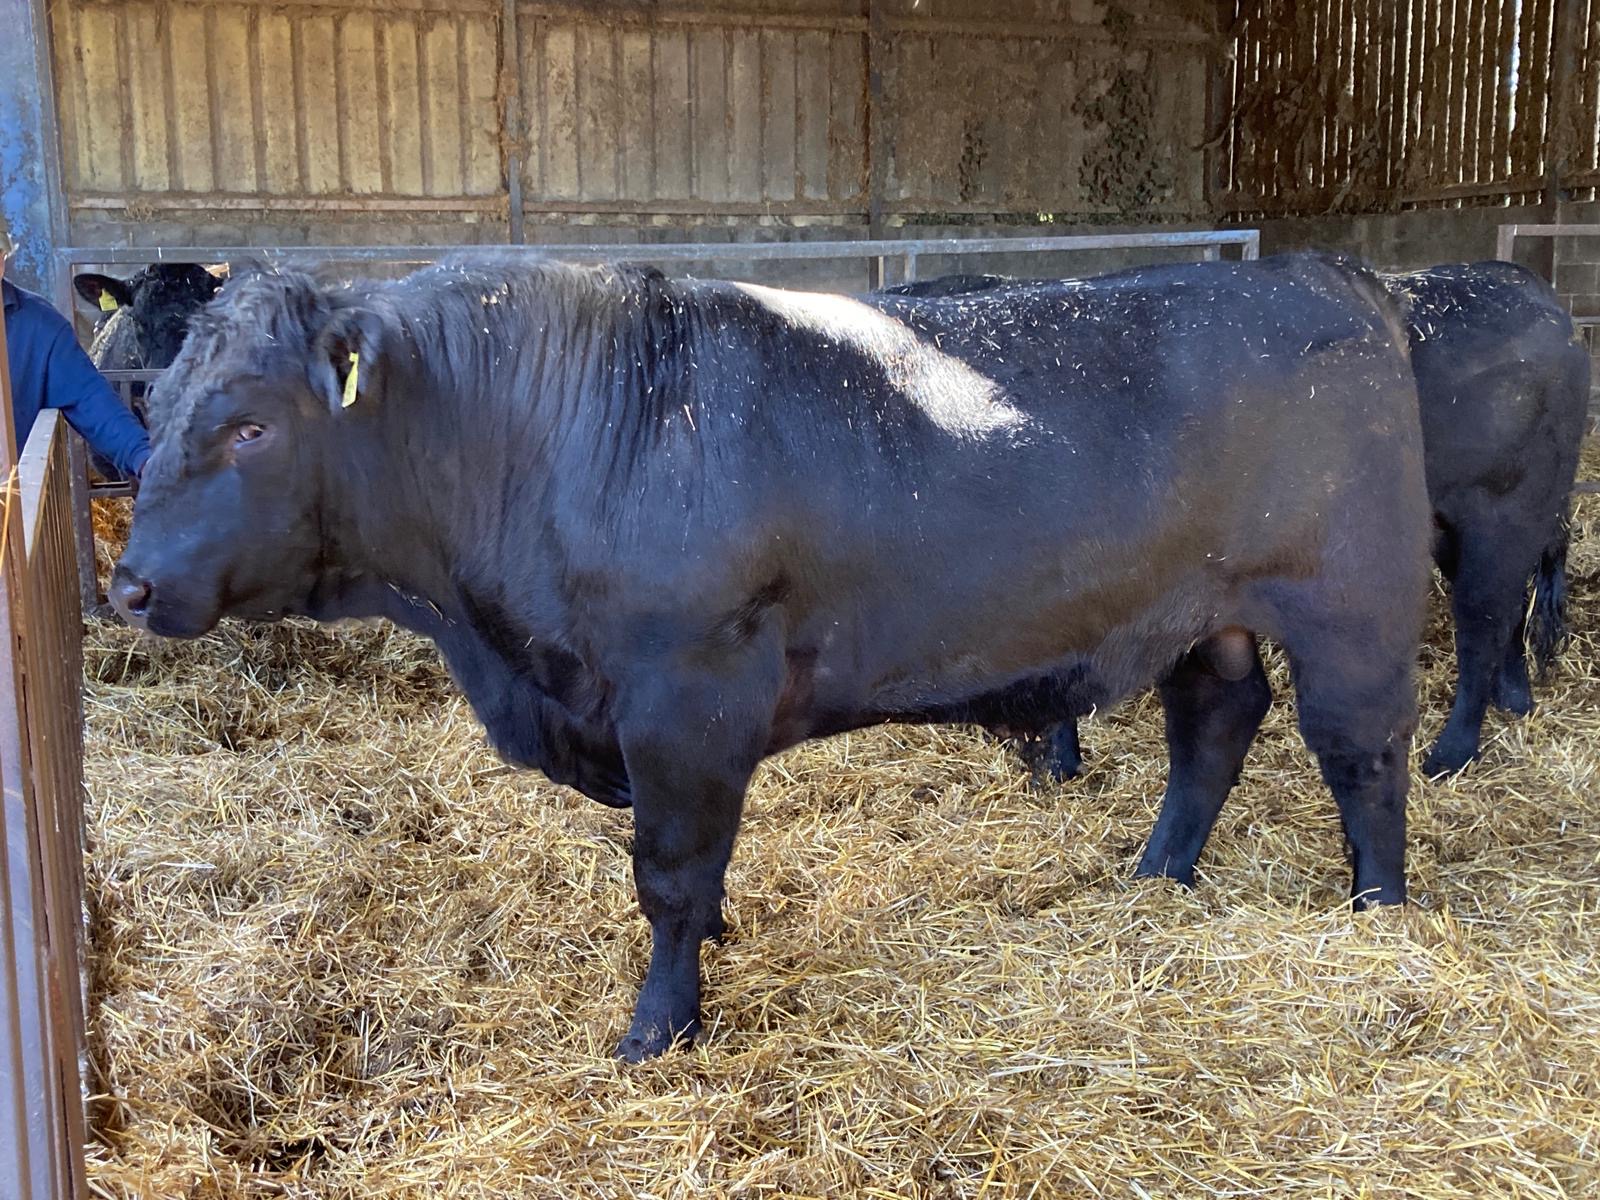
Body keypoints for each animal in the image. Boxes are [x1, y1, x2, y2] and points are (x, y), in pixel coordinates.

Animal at [110, 253, 1430, 1060]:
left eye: (251, 425)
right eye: (156, 396)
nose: (129, 585)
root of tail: (1325, 276)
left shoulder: (684, 702)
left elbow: (668, 874)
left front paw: (658, 1029)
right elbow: (694, 876)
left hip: (1350, 602)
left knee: (1360, 752)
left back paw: (1379, 916)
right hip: (1198, 614)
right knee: (1214, 721)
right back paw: (1157, 875)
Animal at [882, 262, 1590, 780]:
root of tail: (1539, 296)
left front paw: (1056, 760)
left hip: (1503, 505)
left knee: (1484, 619)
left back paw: (1452, 754)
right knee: (1509, 605)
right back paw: (1516, 700)